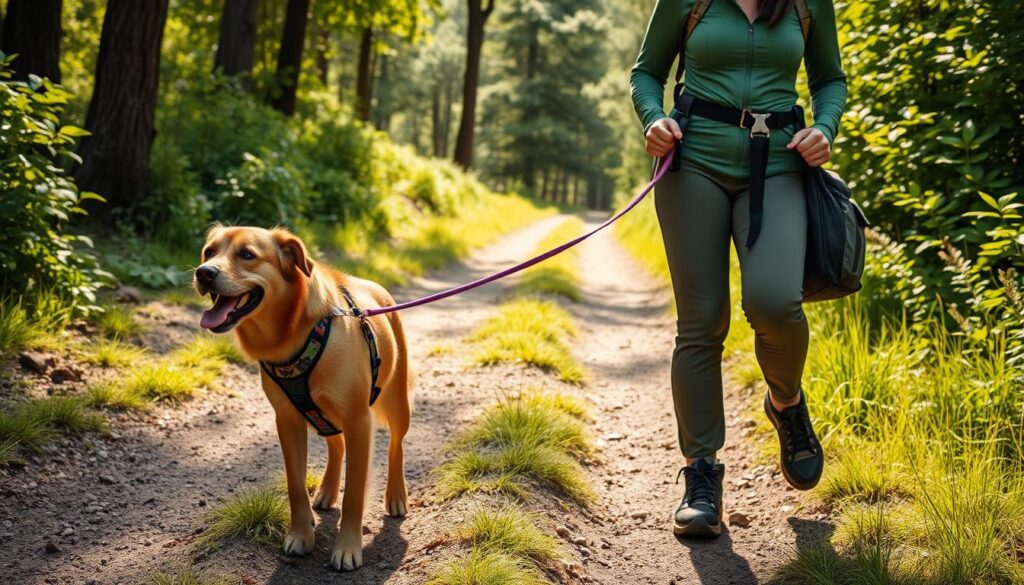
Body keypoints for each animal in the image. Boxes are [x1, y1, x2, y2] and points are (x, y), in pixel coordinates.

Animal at [193, 227, 409, 573]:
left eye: (247, 255)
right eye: (209, 252)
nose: (203, 272)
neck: (293, 333)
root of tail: (376, 287)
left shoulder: (358, 421)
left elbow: (354, 495)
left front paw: (347, 549)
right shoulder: (288, 420)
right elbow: (295, 487)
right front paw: (301, 536)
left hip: (398, 404)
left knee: (395, 447)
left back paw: (396, 496)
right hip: (321, 416)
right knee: (337, 445)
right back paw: (327, 490)